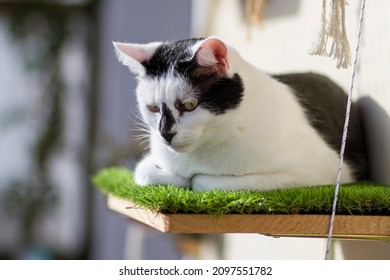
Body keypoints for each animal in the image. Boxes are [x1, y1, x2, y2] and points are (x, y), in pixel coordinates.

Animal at [113, 36, 368, 190]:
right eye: (153, 108)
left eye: (189, 105)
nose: (165, 134)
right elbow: (145, 171)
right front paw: (174, 177)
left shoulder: (318, 171)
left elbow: (204, 181)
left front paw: (191, 179)